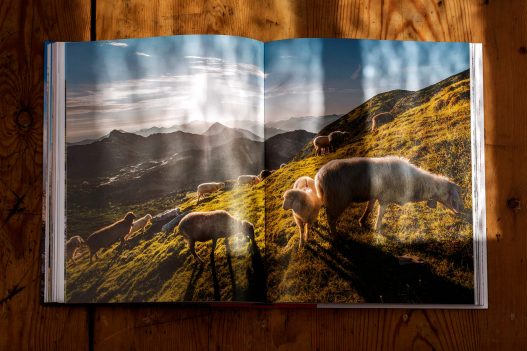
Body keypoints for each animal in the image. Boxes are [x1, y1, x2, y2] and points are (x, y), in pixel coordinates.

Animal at [316, 157, 464, 234]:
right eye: (453, 197)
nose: (461, 210)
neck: (414, 182)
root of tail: (319, 177)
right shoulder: (385, 198)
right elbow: (380, 214)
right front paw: (378, 229)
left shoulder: (374, 196)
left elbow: (369, 209)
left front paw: (362, 221)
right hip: (337, 199)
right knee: (331, 218)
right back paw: (335, 234)